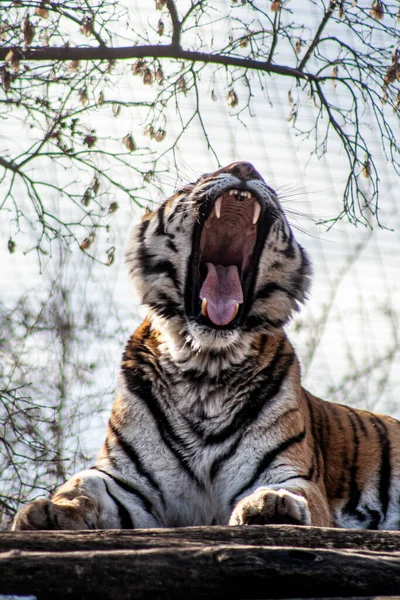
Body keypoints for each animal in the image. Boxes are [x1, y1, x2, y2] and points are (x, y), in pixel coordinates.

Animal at [11, 162, 400, 532]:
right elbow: (83, 487)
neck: (204, 366)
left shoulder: (289, 471)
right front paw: (47, 511)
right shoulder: (128, 482)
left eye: (262, 179)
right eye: (197, 180)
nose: (244, 167)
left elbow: (289, 491)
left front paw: (273, 505)